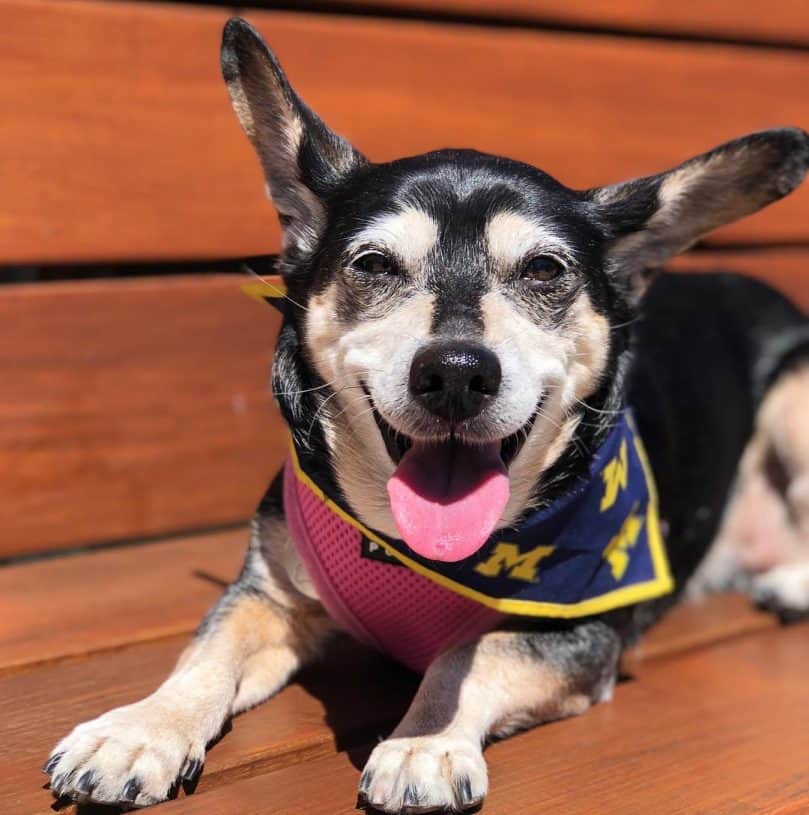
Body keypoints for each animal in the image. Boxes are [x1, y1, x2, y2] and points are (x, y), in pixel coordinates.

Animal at [42, 19, 808, 815]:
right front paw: (140, 729)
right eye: (373, 264)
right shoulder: (266, 594)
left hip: (796, 391)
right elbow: (205, 651)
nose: (457, 372)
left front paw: (425, 741)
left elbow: (473, 650)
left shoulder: (578, 633)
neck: (420, 552)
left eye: (544, 270)